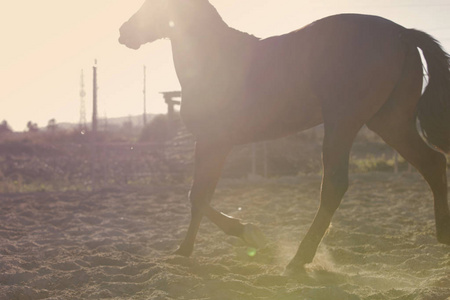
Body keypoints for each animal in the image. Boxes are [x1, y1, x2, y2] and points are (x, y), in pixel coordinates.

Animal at [119, 0, 450, 270]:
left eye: (154, 6)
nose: (123, 32)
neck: (216, 59)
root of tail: (403, 33)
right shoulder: (213, 144)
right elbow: (199, 196)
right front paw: (186, 250)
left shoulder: (215, 142)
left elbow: (198, 196)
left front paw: (247, 234)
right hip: (390, 123)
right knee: (433, 163)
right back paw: (443, 237)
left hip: (343, 124)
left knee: (334, 186)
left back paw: (299, 259)